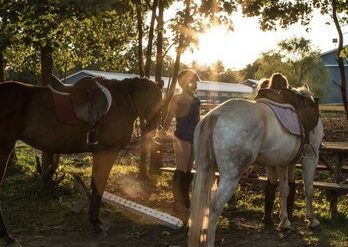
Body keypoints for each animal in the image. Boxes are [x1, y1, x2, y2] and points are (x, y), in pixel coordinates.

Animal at [0, 76, 162, 246]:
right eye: (159, 101)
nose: (154, 133)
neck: (124, 99)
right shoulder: (108, 152)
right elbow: (100, 185)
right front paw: (97, 224)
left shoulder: (98, 152)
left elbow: (95, 184)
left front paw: (94, 220)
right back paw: (8, 237)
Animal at [188, 85, 324, 247]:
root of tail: (215, 115)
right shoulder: (311, 158)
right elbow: (308, 189)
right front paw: (312, 219)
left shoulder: (282, 163)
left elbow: (284, 190)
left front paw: (285, 221)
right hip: (230, 177)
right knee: (214, 207)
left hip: (204, 170)